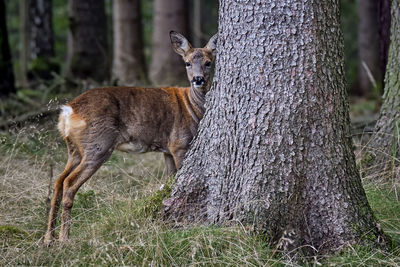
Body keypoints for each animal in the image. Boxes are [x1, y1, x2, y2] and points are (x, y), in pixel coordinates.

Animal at [43, 30, 217, 245]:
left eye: (208, 62)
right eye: (187, 63)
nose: (198, 79)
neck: (192, 108)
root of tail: (67, 111)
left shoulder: (167, 149)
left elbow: (170, 179)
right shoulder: (180, 143)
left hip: (74, 149)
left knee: (58, 181)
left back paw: (48, 239)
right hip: (98, 145)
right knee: (68, 183)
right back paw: (64, 238)